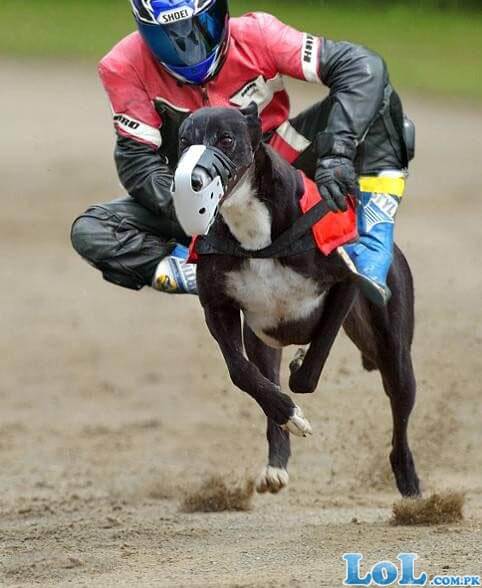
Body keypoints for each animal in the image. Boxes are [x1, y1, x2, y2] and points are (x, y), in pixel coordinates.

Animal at [173, 104, 418, 496]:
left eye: (226, 139)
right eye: (184, 140)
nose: (192, 180)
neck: (256, 235)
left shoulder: (344, 284)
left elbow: (312, 366)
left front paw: (301, 367)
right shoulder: (218, 308)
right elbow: (242, 372)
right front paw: (289, 413)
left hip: (393, 347)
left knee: (400, 406)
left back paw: (410, 482)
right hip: (264, 340)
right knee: (266, 381)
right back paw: (276, 462)